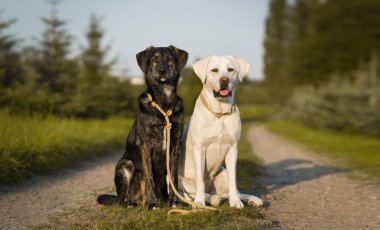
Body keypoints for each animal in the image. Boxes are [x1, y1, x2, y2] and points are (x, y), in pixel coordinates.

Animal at [97, 45, 188, 209]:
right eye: (154, 60)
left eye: (170, 59)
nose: (162, 71)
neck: (163, 103)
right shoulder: (146, 145)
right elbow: (149, 177)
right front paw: (153, 204)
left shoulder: (175, 144)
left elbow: (173, 177)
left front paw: (174, 202)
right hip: (125, 165)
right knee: (122, 200)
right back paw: (133, 203)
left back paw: (163, 199)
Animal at [179, 55, 264, 208]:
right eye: (214, 70)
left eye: (230, 69)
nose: (224, 80)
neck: (220, 112)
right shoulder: (199, 149)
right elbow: (199, 181)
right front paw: (199, 202)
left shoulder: (233, 148)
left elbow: (233, 181)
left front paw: (235, 202)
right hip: (179, 181)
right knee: (191, 194)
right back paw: (210, 199)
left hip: (222, 173)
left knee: (229, 192)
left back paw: (250, 199)